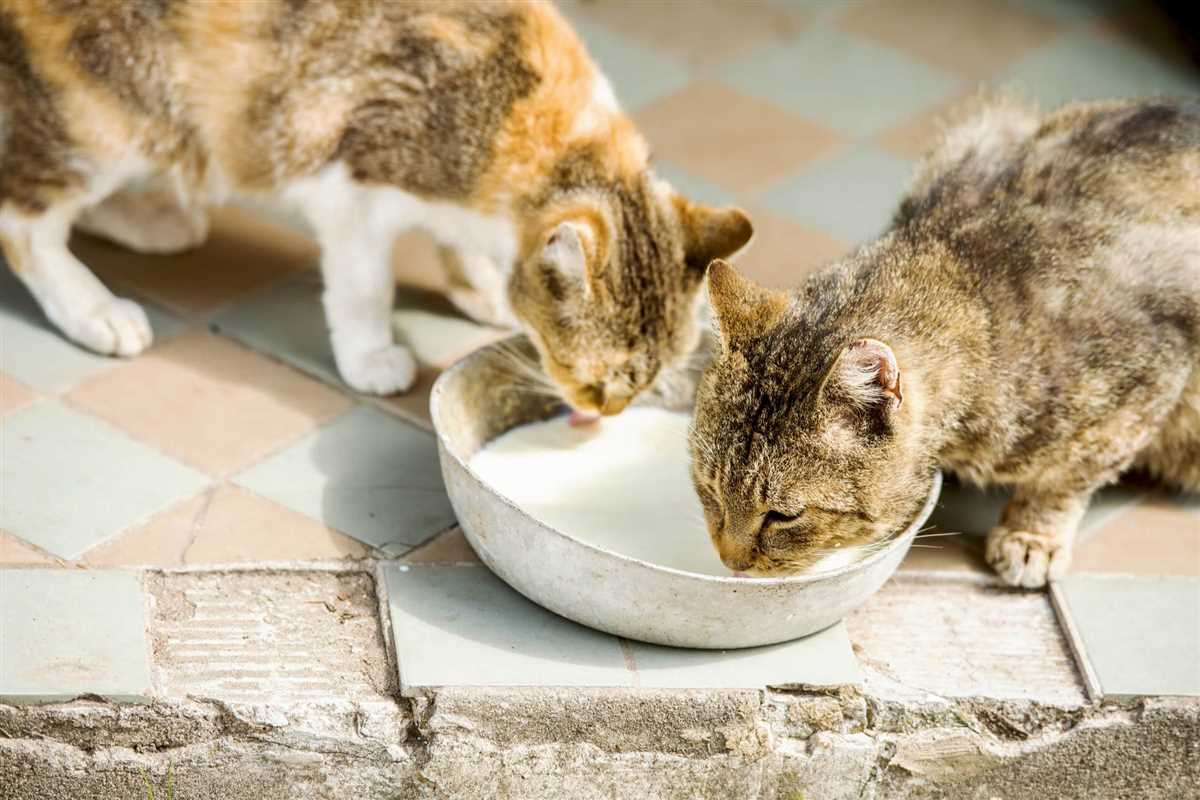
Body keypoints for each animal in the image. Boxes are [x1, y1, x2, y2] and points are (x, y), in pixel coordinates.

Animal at [0, 0, 748, 410]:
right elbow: (364, 286)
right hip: (108, 117)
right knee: (24, 217)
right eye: (598, 378)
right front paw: (372, 355)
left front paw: (484, 288)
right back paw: (94, 307)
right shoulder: (351, 188)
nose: (609, 415)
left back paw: (154, 220)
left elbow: (467, 243)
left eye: (655, 377)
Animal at [691, 98, 1200, 587]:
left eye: (784, 516)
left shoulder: (1143, 382)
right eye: (709, 487)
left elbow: (1067, 477)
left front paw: (1032, 533)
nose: (730, 560)